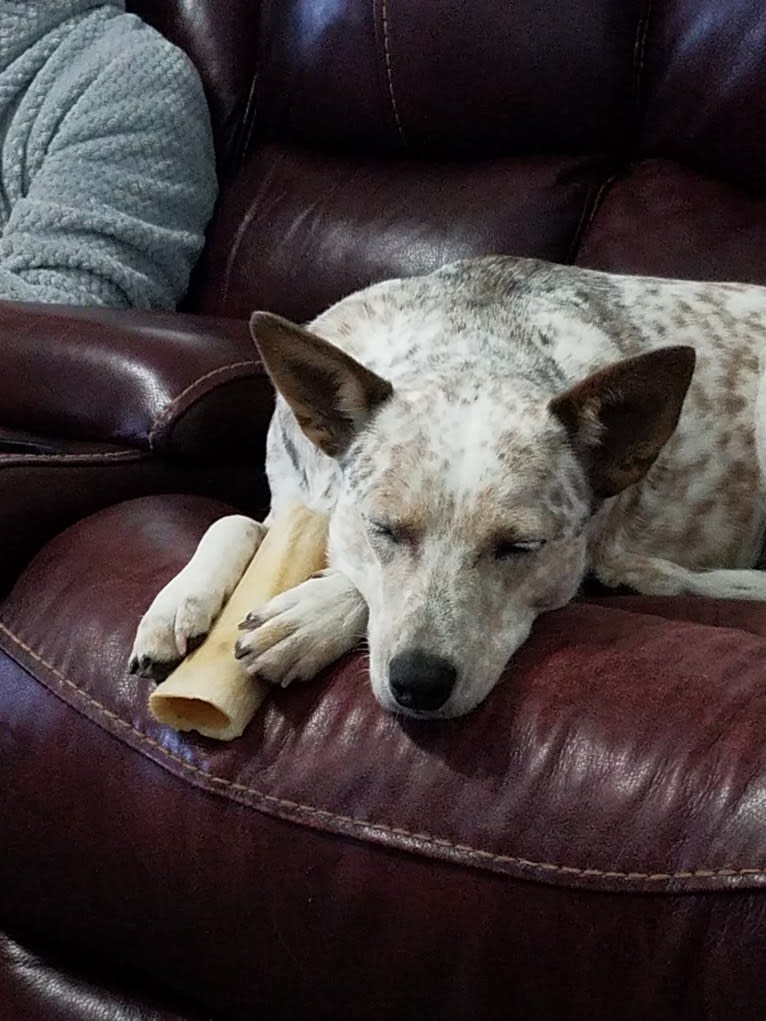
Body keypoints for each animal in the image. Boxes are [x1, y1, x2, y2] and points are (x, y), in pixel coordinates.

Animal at [129, 255, 766, 718]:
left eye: (520, 547)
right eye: (384, 528)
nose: (419, 686)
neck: (472, 347)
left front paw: (312, 616)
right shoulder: (291, 498)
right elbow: (232, 520)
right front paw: (178, 603)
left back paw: (643, 573)